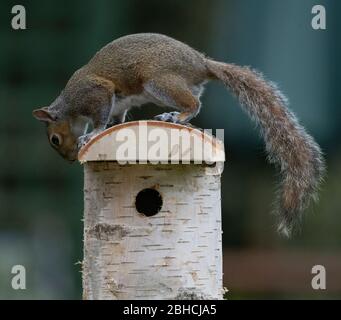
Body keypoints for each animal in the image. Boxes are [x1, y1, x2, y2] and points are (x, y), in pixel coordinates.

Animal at [32, 33, 324, 235]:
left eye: (55, 140)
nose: (71, 159)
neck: (69, 106)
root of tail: (202, 63)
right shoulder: (119, 105)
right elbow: (117, 118)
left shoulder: (96, 93)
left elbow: (101, 118)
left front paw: (92, 133)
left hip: (159, 81)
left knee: (194, 104)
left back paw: (176, 116)